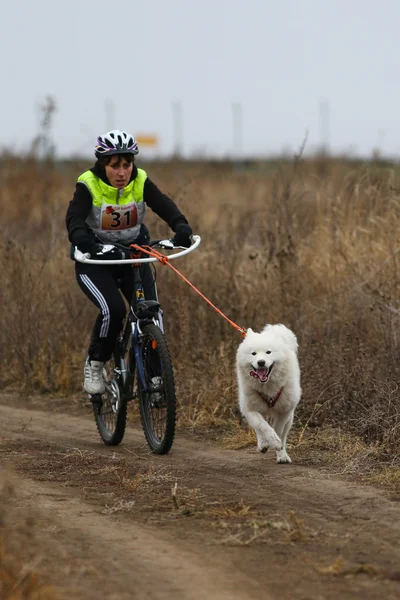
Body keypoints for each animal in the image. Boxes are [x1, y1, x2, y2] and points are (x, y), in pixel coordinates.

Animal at [238, 326, 300, 462]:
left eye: (268, 352)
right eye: (253, 353)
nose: (261, 362)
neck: (268, 387)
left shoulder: (283, 411)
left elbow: (278, 430)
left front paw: (276, 444)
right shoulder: (250, 409)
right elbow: (262, 426)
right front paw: (267, 442)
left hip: (289, 417)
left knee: (284, 435)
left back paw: (283, 456)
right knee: (259, 427)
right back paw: (263, 444)